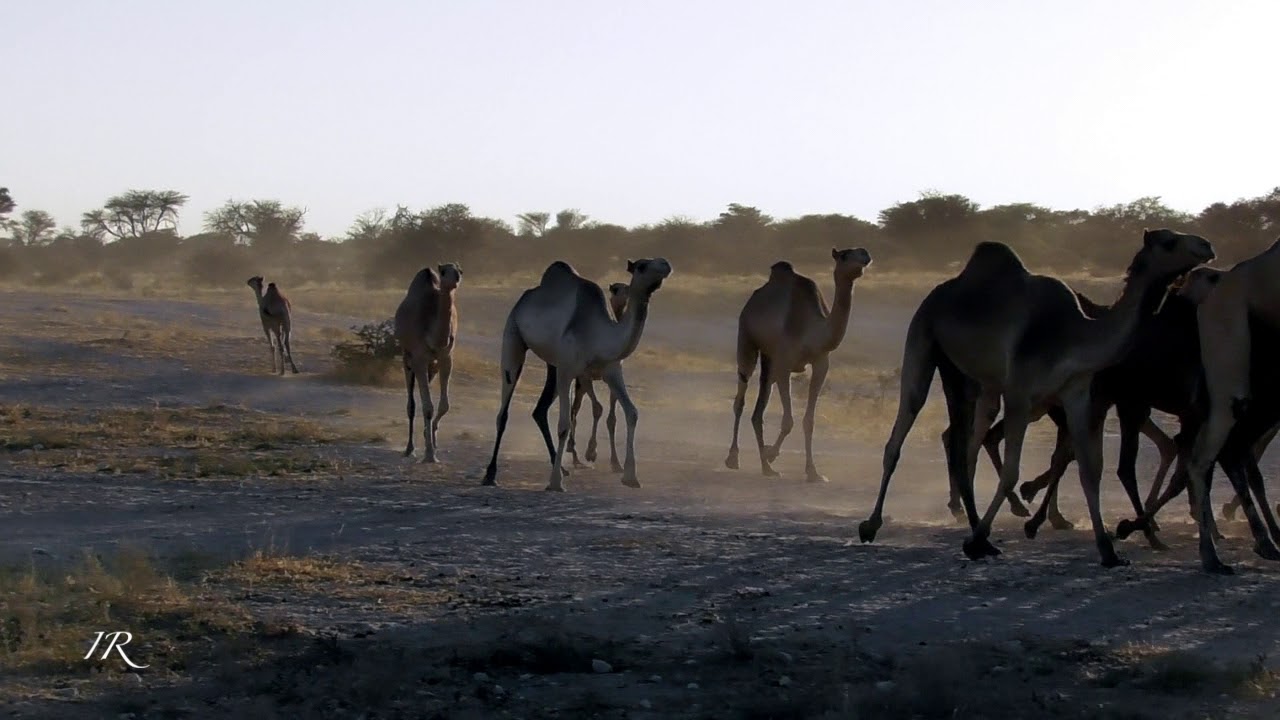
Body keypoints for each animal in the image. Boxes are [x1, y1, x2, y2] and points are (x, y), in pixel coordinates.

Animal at [393, 263, 461, 463]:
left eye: (459, 270)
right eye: (443, 271)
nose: (456, 277)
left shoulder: (446, 358)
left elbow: (444, 405)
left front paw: (432, 438)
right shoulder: (419, 358)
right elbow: (427, 407)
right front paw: (430, 455)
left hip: (432, 366)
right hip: (407, 358)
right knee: (411, 404)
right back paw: (409, 448)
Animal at [482, 257, 673, 491]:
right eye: (642, 266)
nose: (666, 264)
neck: (597, 335)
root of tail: (524, 299)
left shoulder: (611, 371)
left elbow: (632, 413)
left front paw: (630, 477)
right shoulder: (568, 370)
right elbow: (564, 425)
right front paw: (555, 484)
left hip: (552, 364)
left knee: (540, 409)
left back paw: (562, 467)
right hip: (513, 336)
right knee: (504, 410)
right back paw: (490, 474)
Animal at [724, 248, 872, 482]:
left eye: (860, 251)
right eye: (845, 255)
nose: (865, 254)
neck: (813, 330)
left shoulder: (821, 363)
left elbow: (808, 421)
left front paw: (813, 472)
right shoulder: (784, 364)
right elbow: (788, 421)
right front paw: (772, 453)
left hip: (769, 359)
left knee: (758, 412)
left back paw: (766, 467)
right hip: (747, 339)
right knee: (741, 396)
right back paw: (734, 458)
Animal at [859, 230, 1215, 568]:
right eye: (1169, 242)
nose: (1207, 246)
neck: (1074, 336)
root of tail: (940, 291)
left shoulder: (1076, 395)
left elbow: (1089, 470)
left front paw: (1108, 551)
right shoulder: (1020, 393)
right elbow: (1011, 473)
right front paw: (980, 538)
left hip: (974, 380)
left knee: (966, 448)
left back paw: (975, 529)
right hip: (922, 337)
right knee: (904, 425)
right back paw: (872, 524)